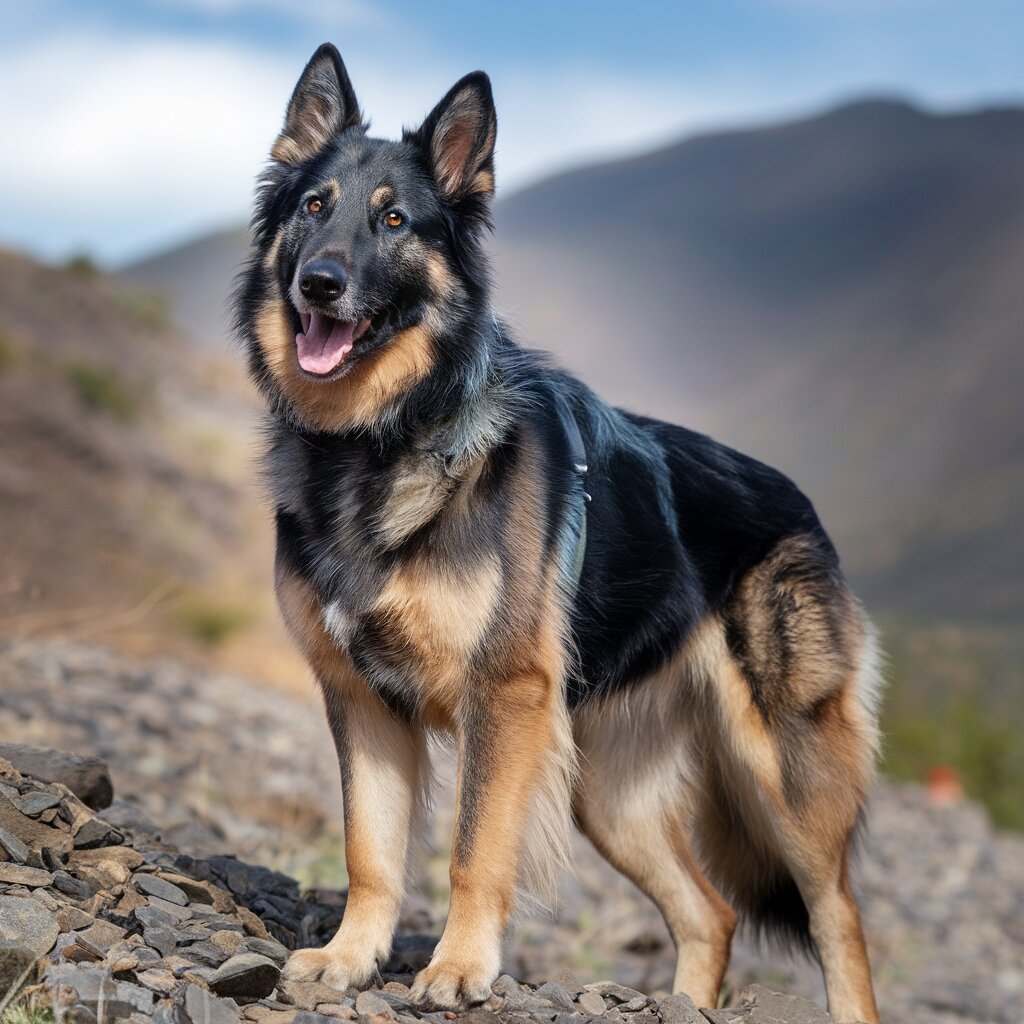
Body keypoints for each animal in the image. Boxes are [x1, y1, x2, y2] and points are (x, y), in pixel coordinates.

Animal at [235, 41, 884, 1024]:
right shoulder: (362, 700)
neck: (387, 437)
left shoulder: (502, 698)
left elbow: (472, 851)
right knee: (711, 913)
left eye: (395, 221)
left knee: (837, 915)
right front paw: (349, 958)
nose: (320, 283)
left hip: (786, 774)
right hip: (608, 796)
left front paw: (458, 969)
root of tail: (799, 502)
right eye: (314, 207)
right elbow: (370, 850)